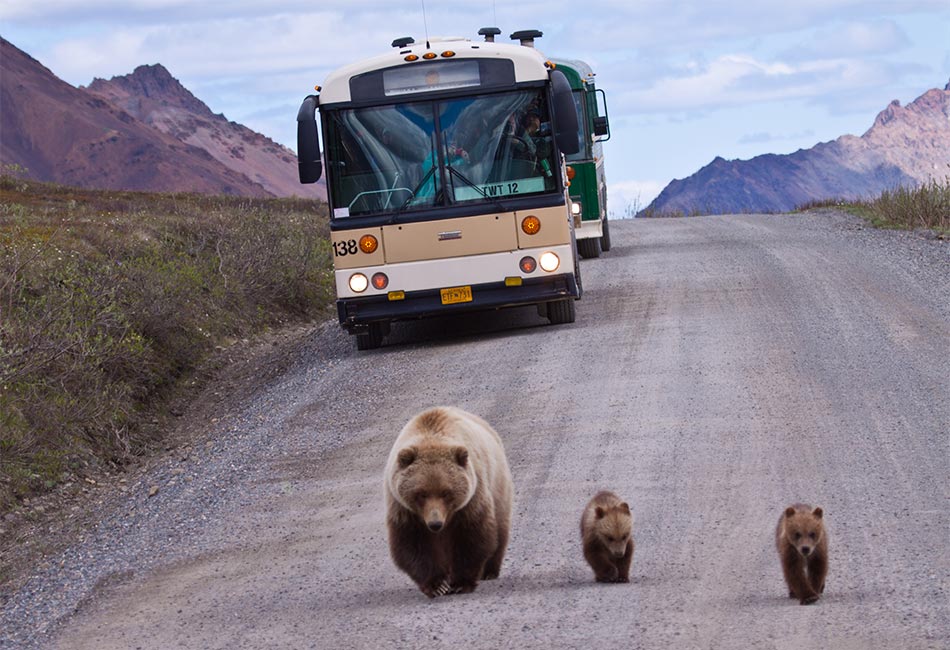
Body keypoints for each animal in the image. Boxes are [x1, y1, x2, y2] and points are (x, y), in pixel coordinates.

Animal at [384, 404, 512, 596]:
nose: (435, 523)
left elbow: (472, 535)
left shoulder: (471, 499)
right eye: (421, 494)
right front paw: (437, 585)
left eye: (446, 493)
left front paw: (460, 582)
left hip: (497, 485)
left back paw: (489, 571)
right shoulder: (404, 508)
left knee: (500, 526)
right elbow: (413, 543)